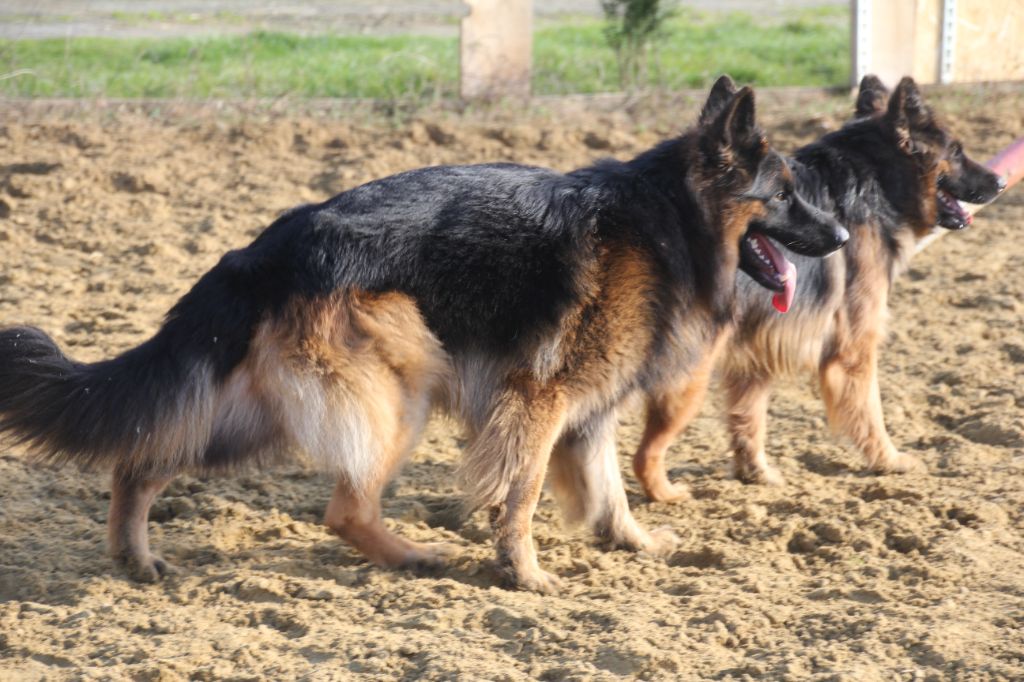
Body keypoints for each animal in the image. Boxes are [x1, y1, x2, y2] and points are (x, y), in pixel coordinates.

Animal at [2, 78, 847, 589]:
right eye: (785, 195)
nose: (842, 235)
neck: (669, 218)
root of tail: (265, 249)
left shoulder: (588, 411)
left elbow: (607, 489)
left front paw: (634, 543)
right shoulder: (539, 403)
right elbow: (524, 495)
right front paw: (523, 574)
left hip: (255, 416)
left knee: (144, 458)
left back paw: (135, 557)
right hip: (395, 396)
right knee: (344, 511)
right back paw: (416, 558)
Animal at [630, 75, 1007, 499]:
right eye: (957, 151)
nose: (1002, 181)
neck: (875, 182)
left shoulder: (756, 350)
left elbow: (749, 417)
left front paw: (755, 472)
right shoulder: (854, 349)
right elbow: (870, 408)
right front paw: (888, 460)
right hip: (688, 374)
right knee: (641, 450)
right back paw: (661, 494)